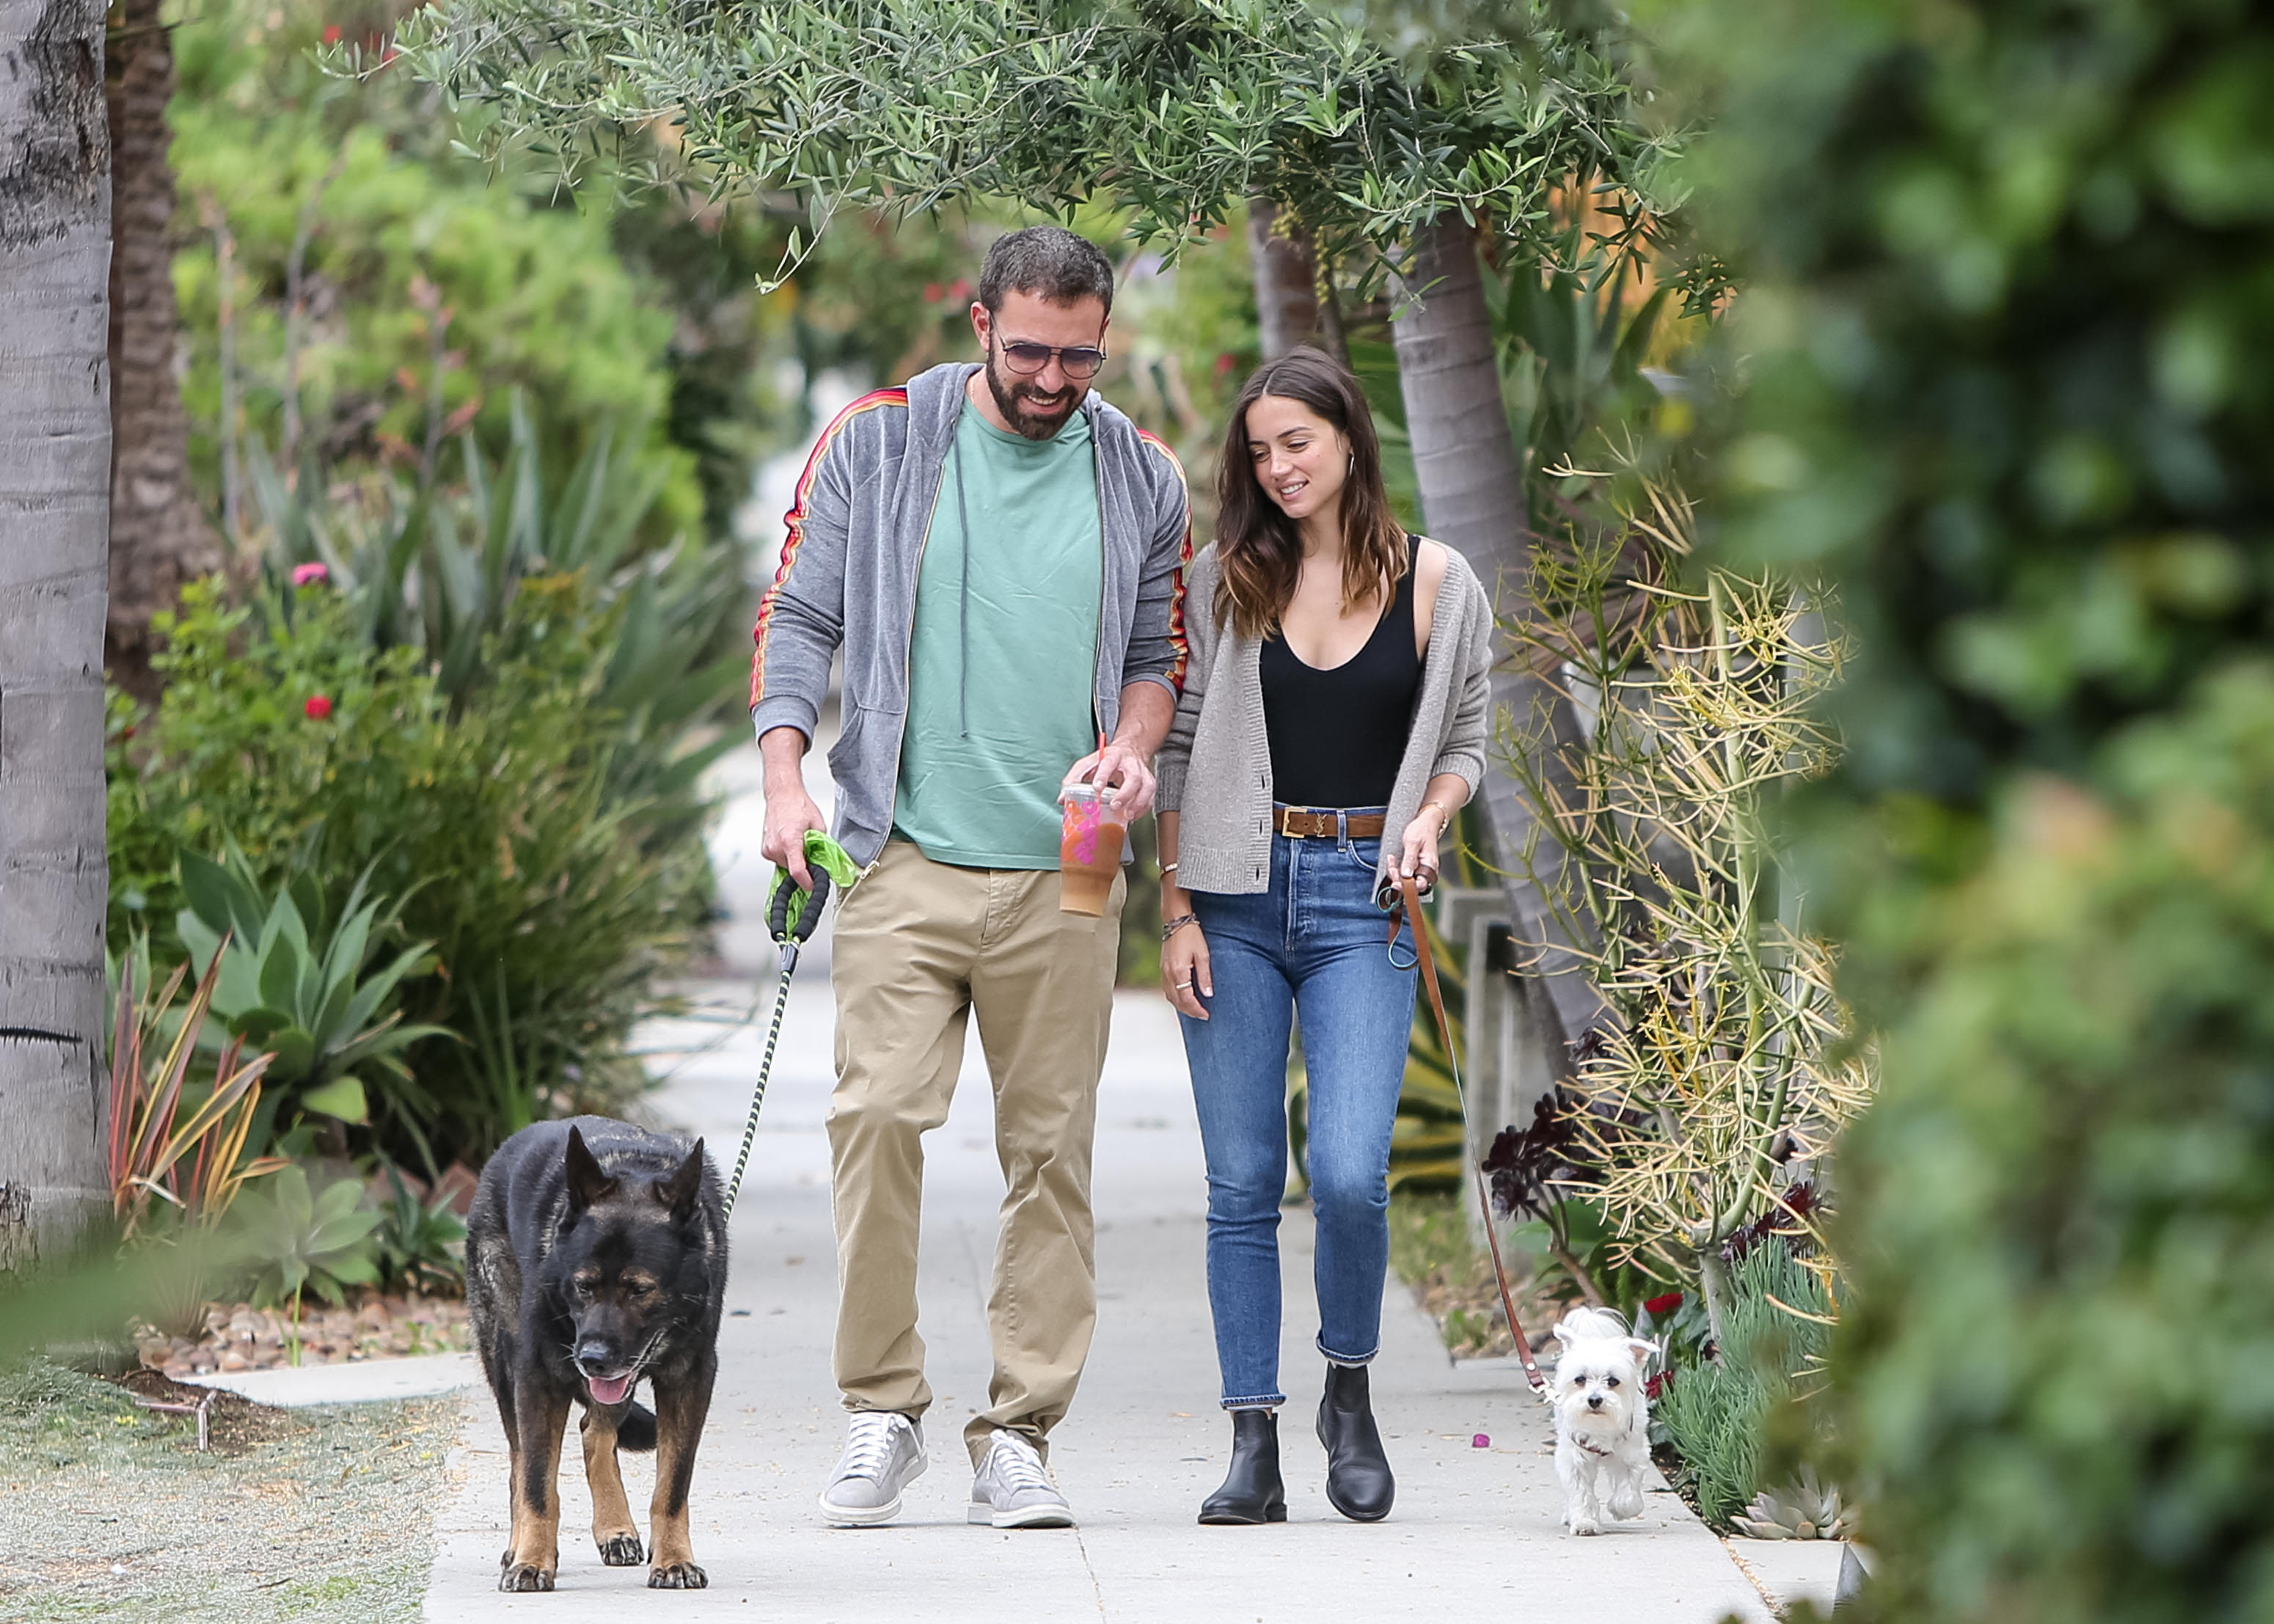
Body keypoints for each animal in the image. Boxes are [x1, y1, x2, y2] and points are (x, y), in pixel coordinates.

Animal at [470, 1119, 728, 1592]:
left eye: (640, 1289)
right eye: (583, 1285)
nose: (590, 1358)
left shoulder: (689, 1380)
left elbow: (672, 1486)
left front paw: (673, 1560)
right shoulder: (538, 1378)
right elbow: (537, 1485)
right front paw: (532, 1561)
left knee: (595, 1431)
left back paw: (616, 1529)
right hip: (505, 1364)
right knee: (520, 1461)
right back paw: (520, 1546)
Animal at [1546, 1301, 1655, 1528]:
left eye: (1613, 1381)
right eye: (1580, 1379)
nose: (1595, 1399)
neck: (1600, 1426)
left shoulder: (1633, 1455)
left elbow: (1629, 1490)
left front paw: (1621, 1509)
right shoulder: (1574, 1459)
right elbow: (1580, 1493)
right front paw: (1584, 1522)